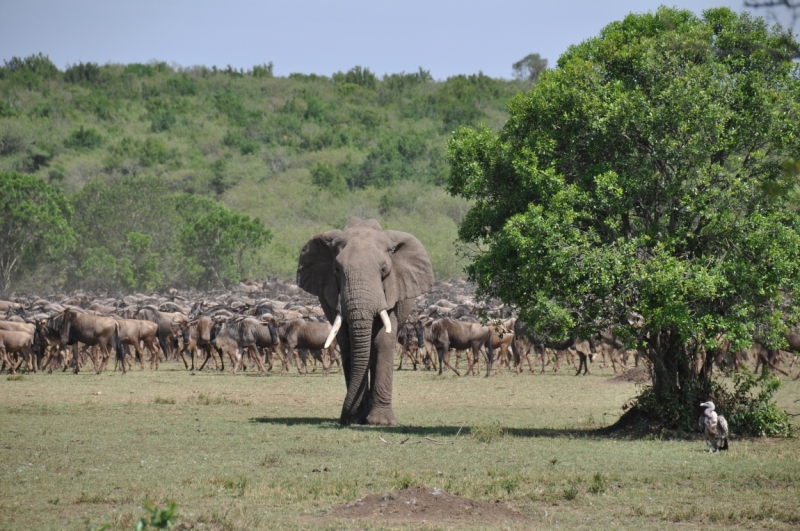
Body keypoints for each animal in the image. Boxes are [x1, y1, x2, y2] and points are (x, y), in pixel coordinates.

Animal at [296, 217, 432, 428]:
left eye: (384, 270)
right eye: (336, 270)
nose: (343, 420)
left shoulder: (392, 291)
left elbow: (382, 340)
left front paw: (381, 422)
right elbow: (348, 343)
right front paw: (359, 418)